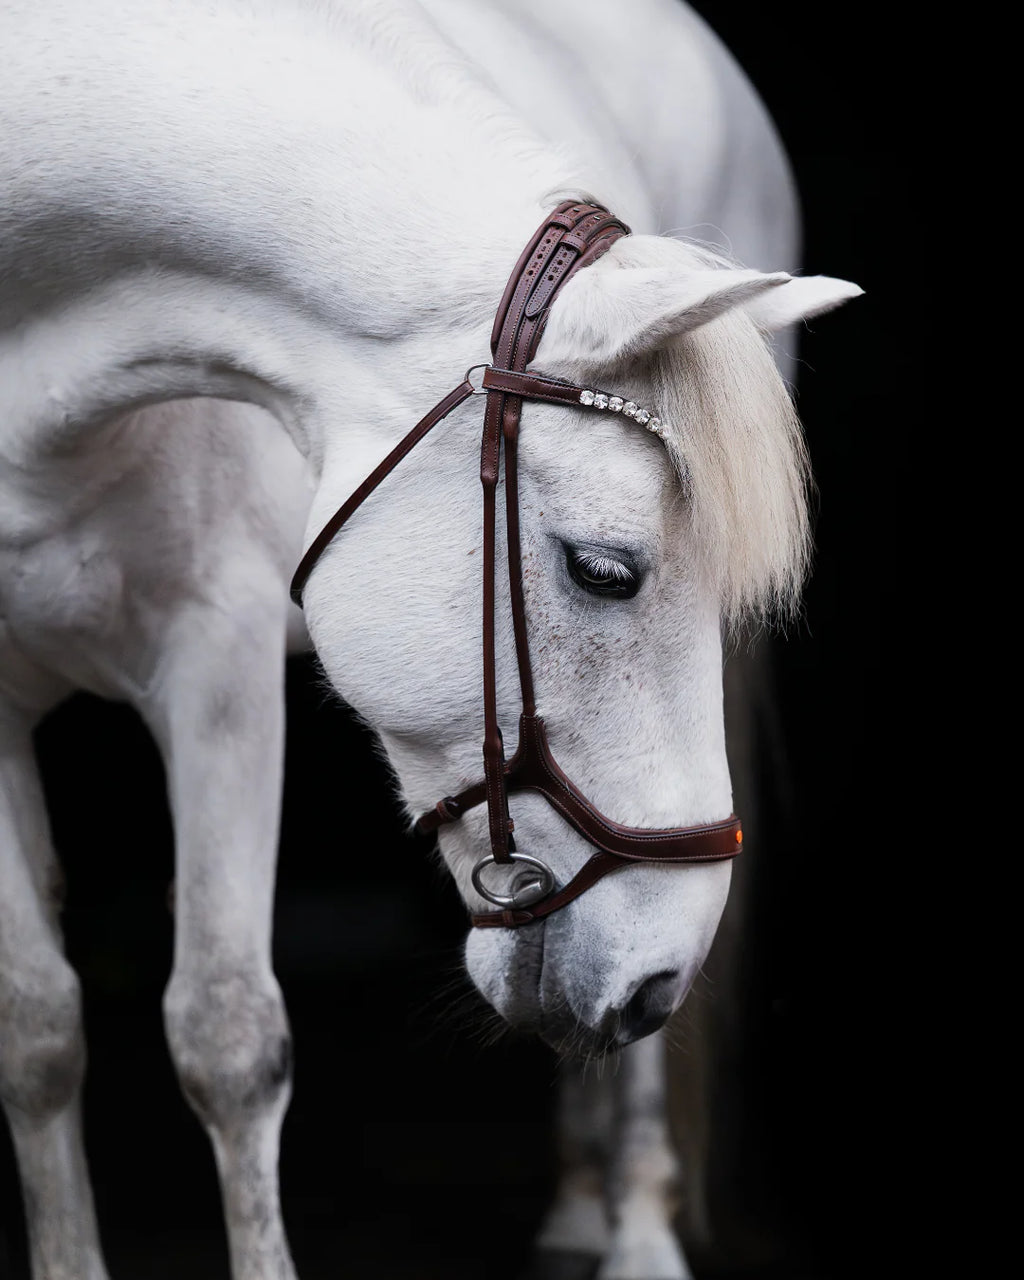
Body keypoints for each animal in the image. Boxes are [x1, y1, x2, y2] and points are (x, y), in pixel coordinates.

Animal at [0, 1, 862, 1276]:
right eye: (604, 570)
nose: (654, 974)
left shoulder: (216, 659)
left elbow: (225, 1038)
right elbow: (39, 1030)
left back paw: (634, 1227)